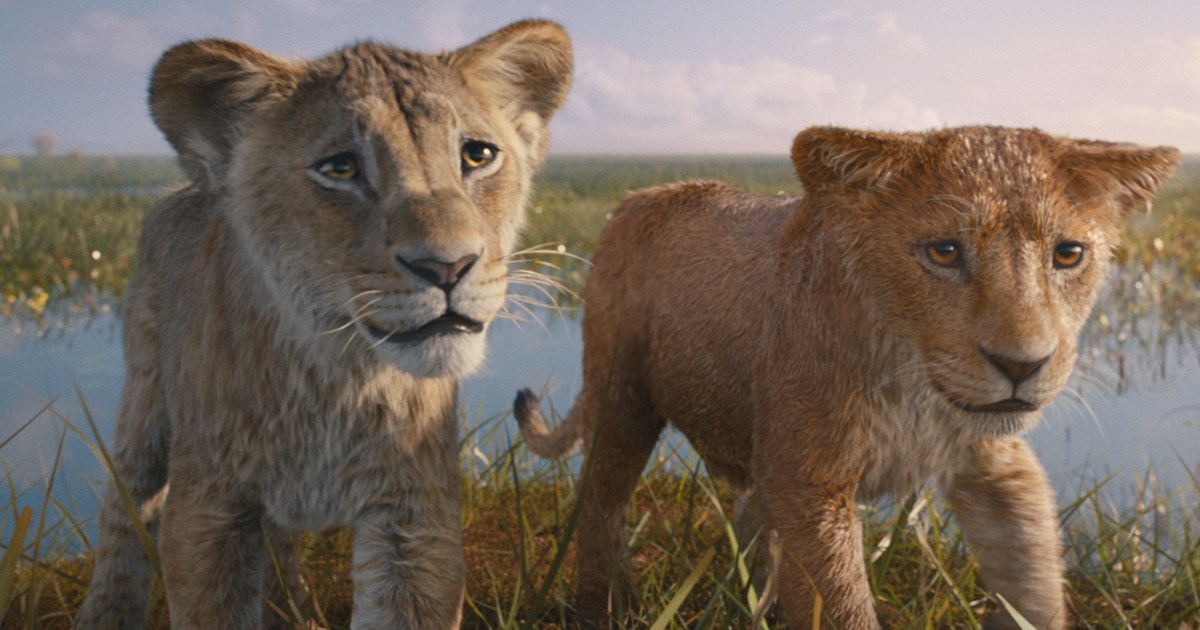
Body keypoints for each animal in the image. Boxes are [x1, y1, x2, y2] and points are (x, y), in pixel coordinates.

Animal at [76, 20, 571, 629]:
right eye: (341, 168)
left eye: (477, 155)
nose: (448, 267)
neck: (334, 378)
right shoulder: (209, 512)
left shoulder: (413, 519)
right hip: (144, 400)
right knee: (124, 511)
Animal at [514, 126, 1179, 628]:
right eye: (943, 252)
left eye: (1068, 254)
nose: (1022, 366)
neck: (914, 384)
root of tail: (637, 196)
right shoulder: (812, 484)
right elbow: (841, 606)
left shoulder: (996, 465)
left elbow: (1034, 581)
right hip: (621, 397)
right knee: (600, 505)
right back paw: (604, 608)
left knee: (751, 521)